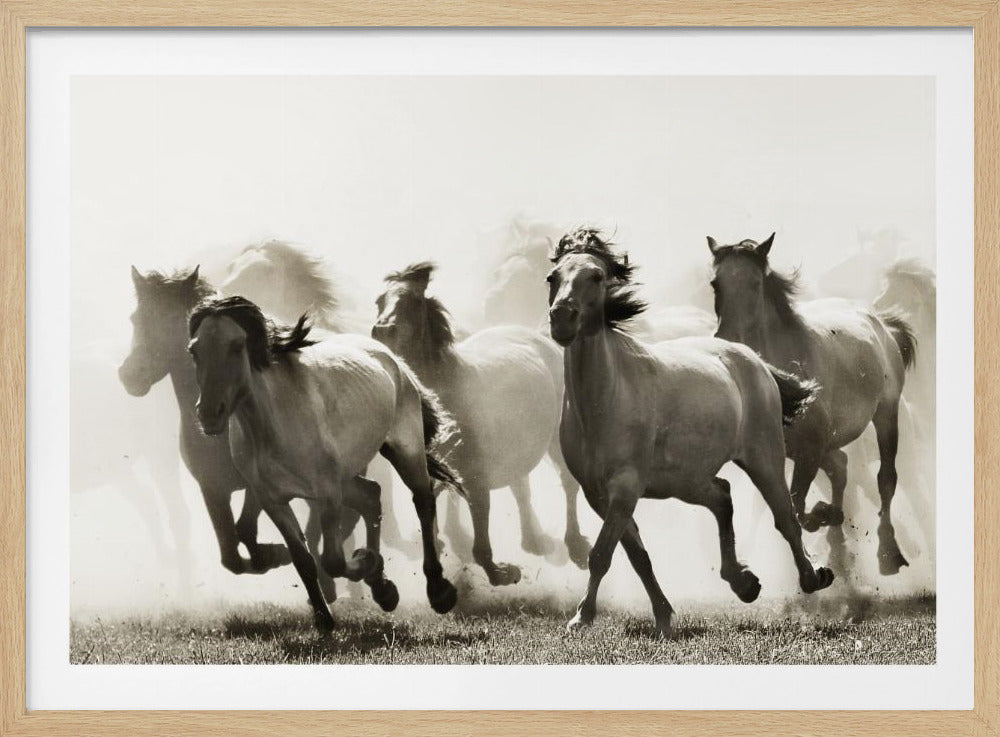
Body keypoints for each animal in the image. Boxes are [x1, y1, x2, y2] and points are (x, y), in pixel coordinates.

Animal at [187, 296, 463, 630]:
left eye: (237, 345)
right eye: (194, 350)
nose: (209, 414)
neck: (272, 424)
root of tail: (392, 359)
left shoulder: (327, 492)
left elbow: (331, 560)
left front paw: (364, 562)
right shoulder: (272, 500)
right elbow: (303, 559)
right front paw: (324, 618)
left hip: (404, 450)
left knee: (422, 501)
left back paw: (438, 591)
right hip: (347, 476)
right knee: (371, 496)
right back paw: (383, 590)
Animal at [372, 262, 592, 585]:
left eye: (412, 302)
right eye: (379, 301)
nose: (381, 332)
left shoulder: (476, 477)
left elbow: (480, 539)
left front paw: (502, 572)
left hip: (555, 439)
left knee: (567, 483)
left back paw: (575, 546)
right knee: (520, 486)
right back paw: (534, 541)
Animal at [547, 228, 833, 637]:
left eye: (597, 276)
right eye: (552, 278)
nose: (561, 319)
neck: (604, 401)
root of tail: (754, 359)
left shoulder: (625, 488)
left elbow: (602, 554)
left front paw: (581, 617)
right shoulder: (597, 494)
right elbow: (637, 556)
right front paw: (663, 616)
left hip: (764, 459)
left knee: (786, 518)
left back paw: (813, 577)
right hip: (686, 481)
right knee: (723, 496)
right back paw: (744, 582)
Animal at [708, 233, 917, 576]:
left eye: (755, 282)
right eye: (715, 283)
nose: (728, 339)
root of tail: (882, 324)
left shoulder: (811, 448)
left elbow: (797, 507)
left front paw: (823, 517)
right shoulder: (789, 452)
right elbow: (796, 506)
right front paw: (827, 518)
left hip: (886, 413)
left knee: (885, 478)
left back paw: (888, 554)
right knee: (841, 466)